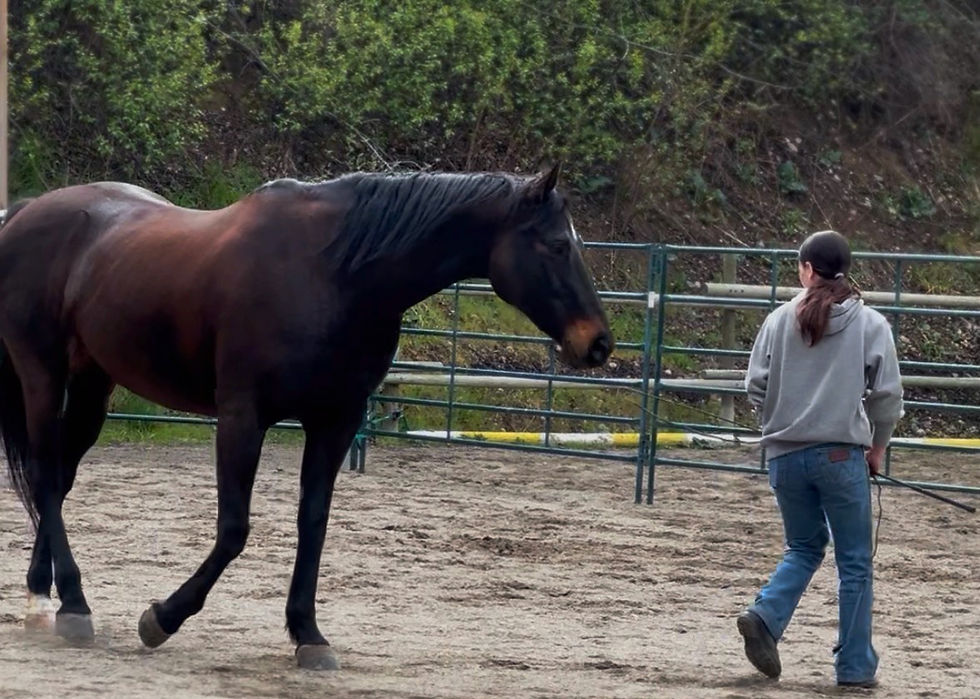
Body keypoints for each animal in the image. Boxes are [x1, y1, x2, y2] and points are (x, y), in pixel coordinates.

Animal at [0, 164, 613, 669]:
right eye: (557, 245)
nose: (599, 344)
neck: (336, 274)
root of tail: (25, 212)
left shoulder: (335, 421)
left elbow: (312, 524)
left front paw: (308, 635)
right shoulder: (242, 417)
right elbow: (234, 529)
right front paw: (162, 618)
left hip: (92, 382)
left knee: (58, 479)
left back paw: (45, 599)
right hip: (42, 373)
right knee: (44, 476)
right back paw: (75, 605)